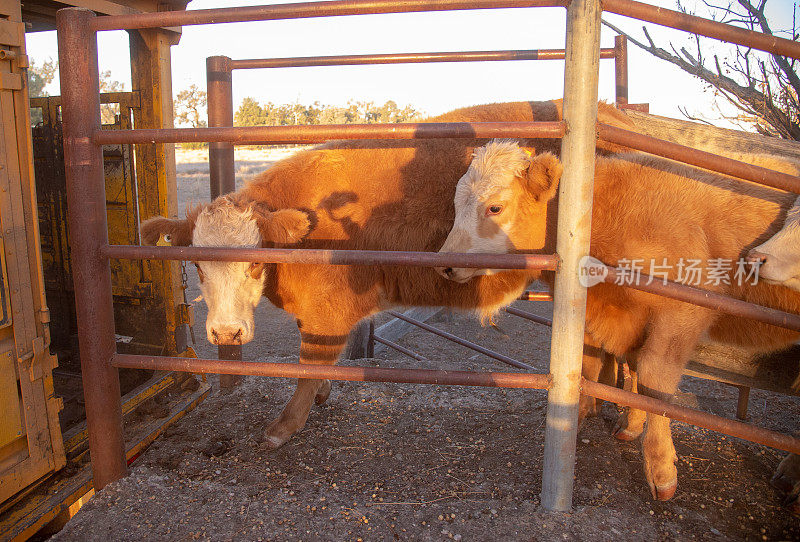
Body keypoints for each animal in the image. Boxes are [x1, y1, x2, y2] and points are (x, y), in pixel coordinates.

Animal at [141, 101, 636, 450]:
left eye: (255, 262)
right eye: (196, 264)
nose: (226, 332)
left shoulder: (326, 314)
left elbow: (308, 365)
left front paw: (283, 427)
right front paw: (321, 395)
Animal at [438, 142, 800, 504]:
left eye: (495, 207)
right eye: (455, 204)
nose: (445, 265)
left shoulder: (683, 312)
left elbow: (654, 380)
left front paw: (660, 469)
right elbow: (613, 367)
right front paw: (613, 421)